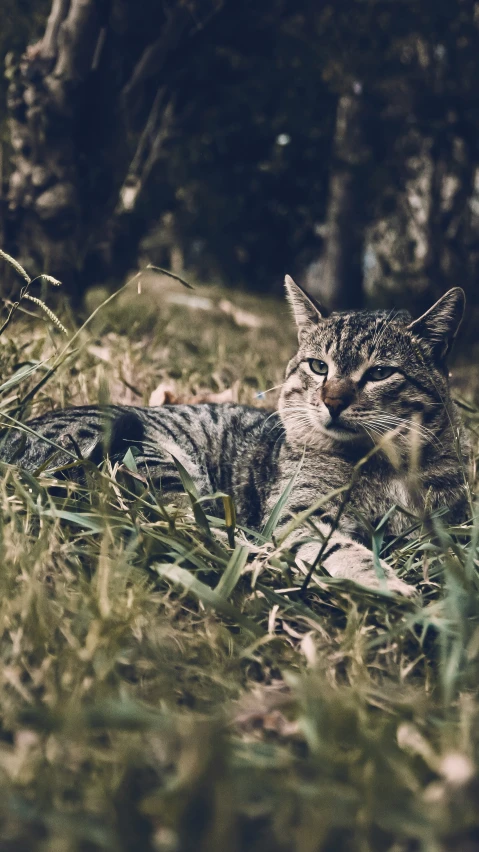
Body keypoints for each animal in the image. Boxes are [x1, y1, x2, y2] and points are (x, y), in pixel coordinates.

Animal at [0, 278, 470, 592]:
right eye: (319, 366)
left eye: (380, 373)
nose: (332, 401)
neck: (381, 465)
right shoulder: (299, 515)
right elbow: (340, 548)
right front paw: (388, 583)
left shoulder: (446, 525)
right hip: (160, 463)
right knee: (188, 525)